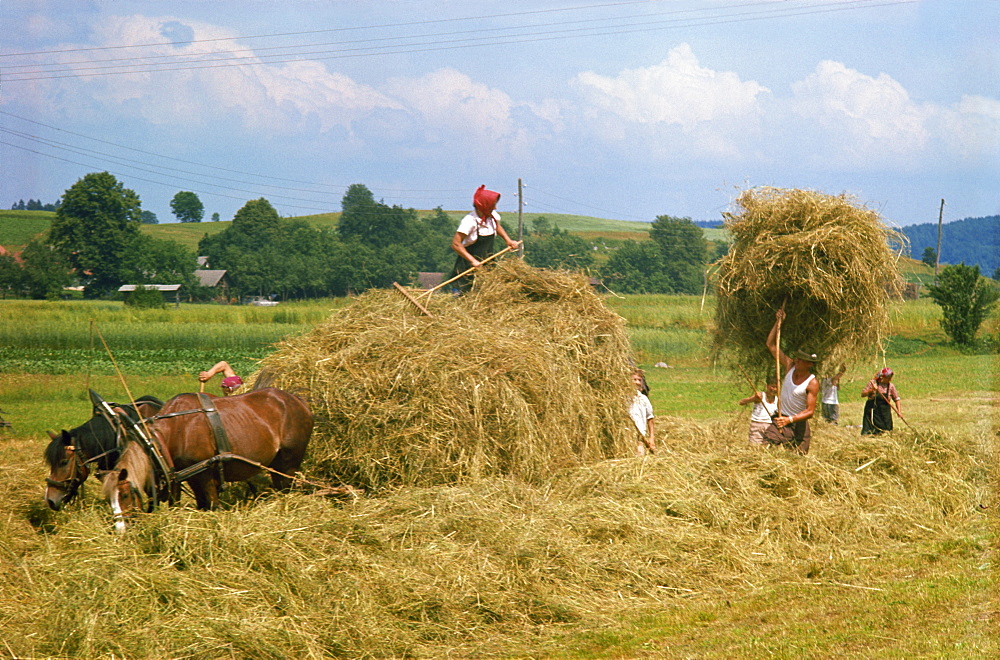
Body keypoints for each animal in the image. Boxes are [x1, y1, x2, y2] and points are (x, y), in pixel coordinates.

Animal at [102, 390, 312, 520]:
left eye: (125, 495)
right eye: (109, 499)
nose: (121, 529)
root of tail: (297, 400)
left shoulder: (206, 475)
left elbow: (212, 506)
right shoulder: (190, 476)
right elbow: (199, 504)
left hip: (288, 463)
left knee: (288, 488)